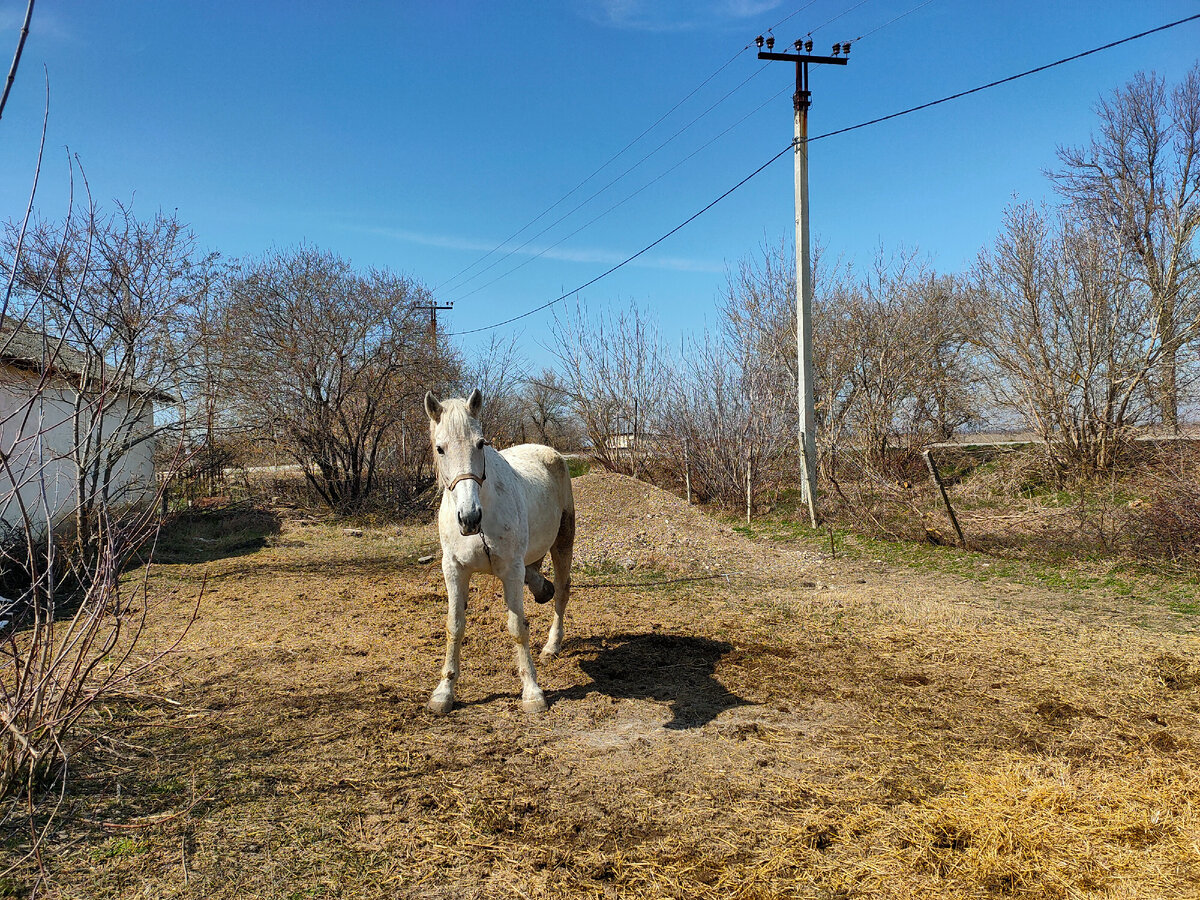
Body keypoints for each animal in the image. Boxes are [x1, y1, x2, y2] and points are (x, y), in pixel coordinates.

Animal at [424, 391, 573, 715]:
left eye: (480, 443)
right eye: (440, 448)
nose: (469, 518)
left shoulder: (511, 571)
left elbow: (518, 627)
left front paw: (532, 692)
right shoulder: (454, 570)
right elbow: (454, 626)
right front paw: (444, 692)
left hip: (563, 541)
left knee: (562, 591)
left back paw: (552, 645)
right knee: (538, 575)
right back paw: (542, 588)